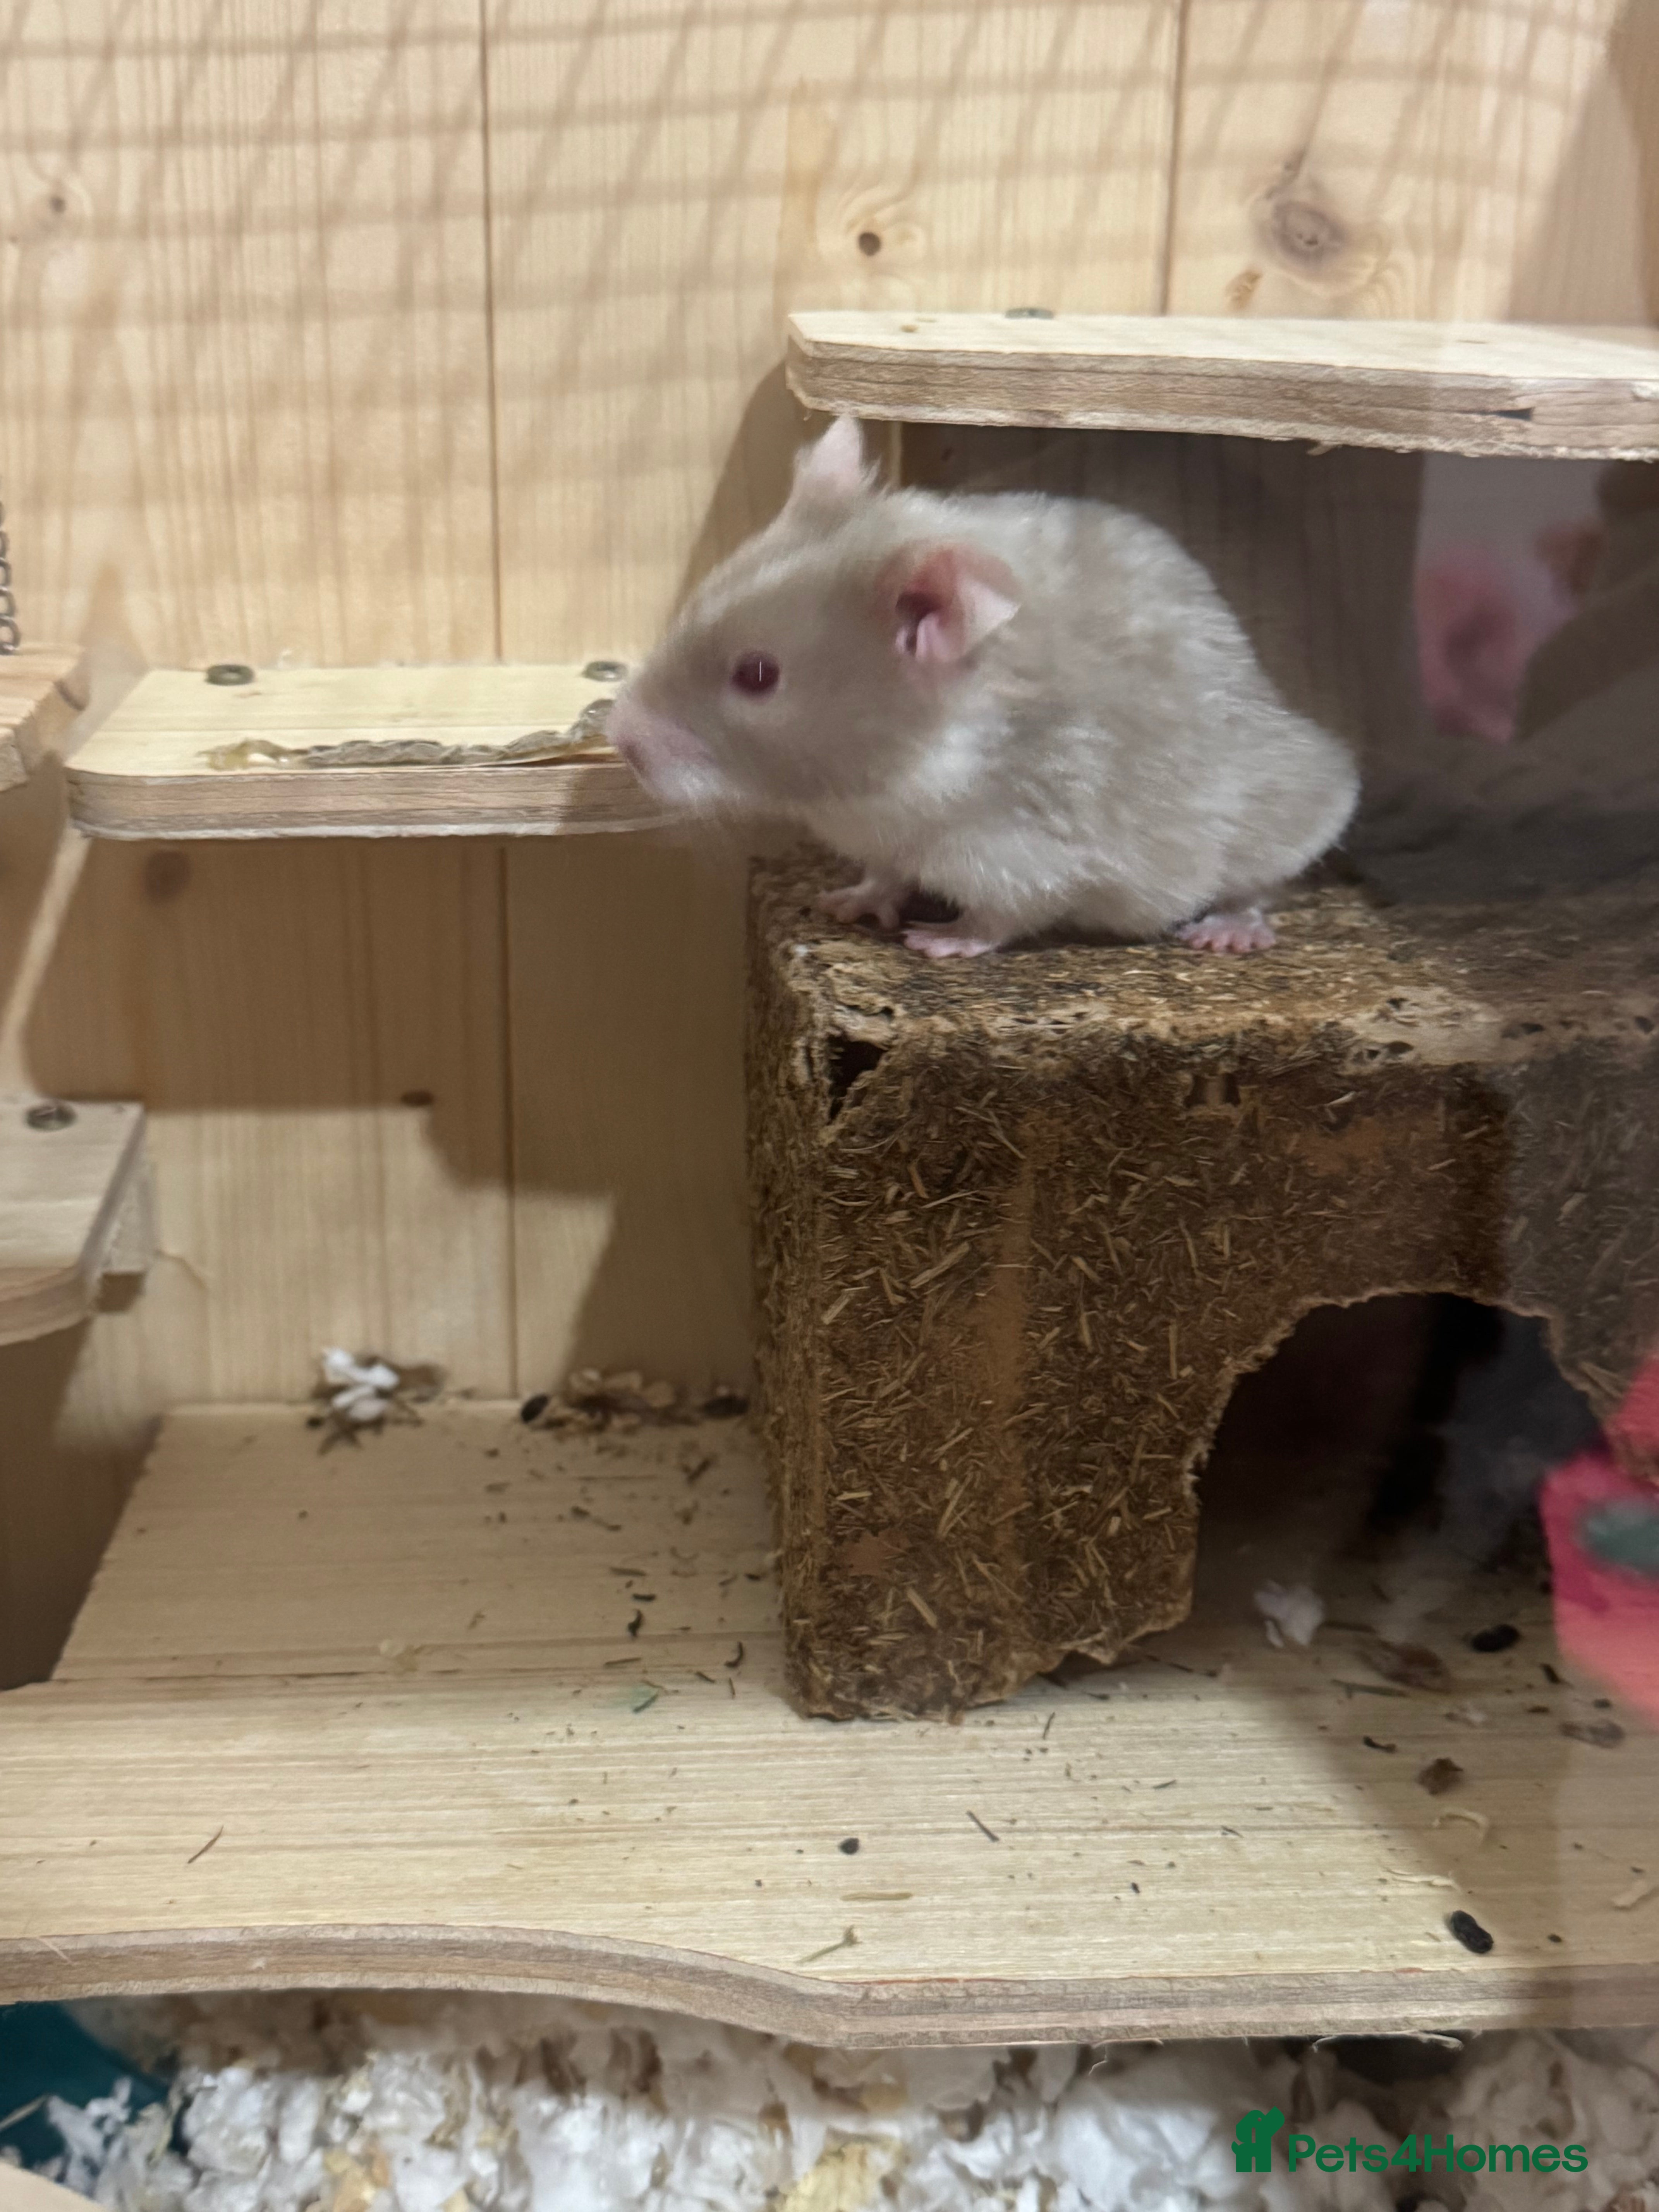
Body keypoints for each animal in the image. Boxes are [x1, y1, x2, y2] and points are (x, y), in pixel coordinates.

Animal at [608, 415, 1359, 958]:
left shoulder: (1020, 854)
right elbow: (883, 874)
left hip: (1282, 815)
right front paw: (845, 904)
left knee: (1263, 883)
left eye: (757, 676)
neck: (871, 787)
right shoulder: (884, 840)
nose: (619, 739)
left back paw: (1226, 933)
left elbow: (1001, 915)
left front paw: (937, 942)